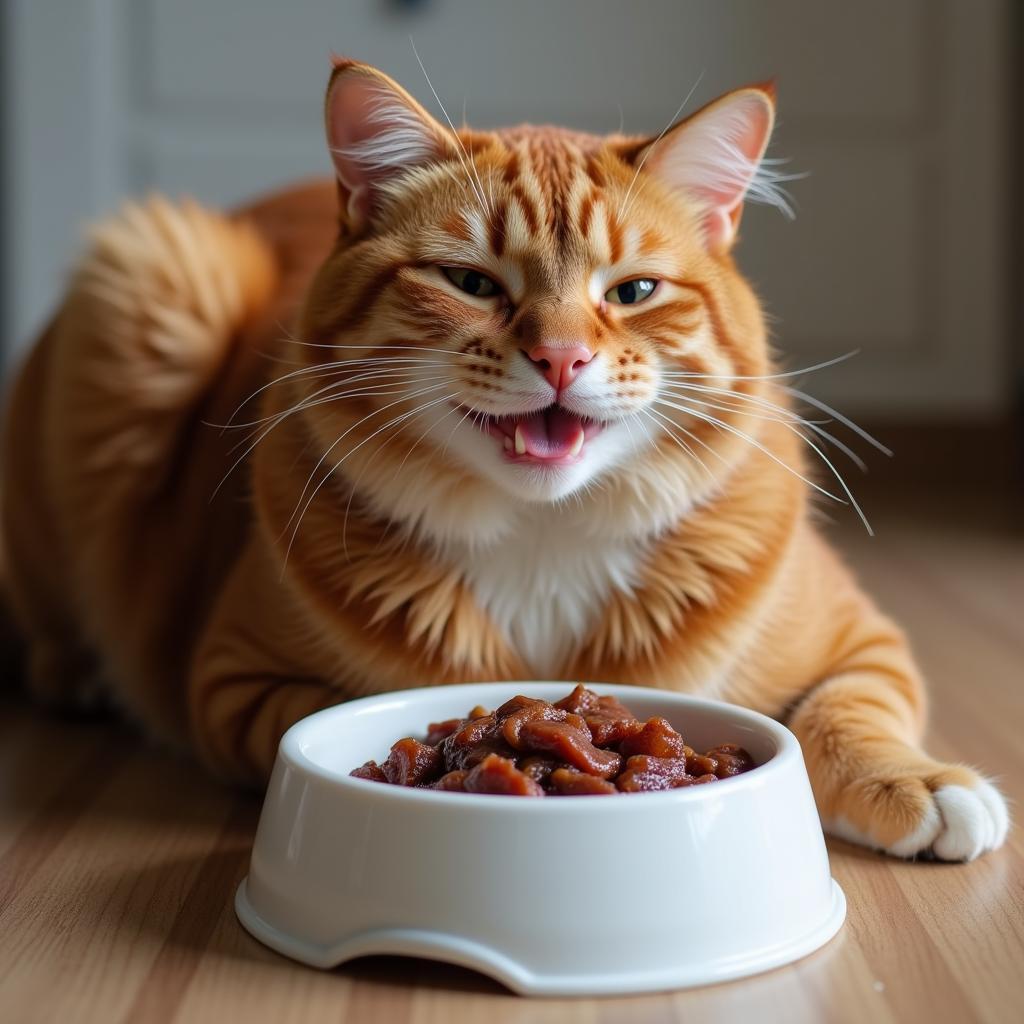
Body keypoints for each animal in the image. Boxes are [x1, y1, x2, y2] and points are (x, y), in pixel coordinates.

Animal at [0, 56, 1007, 856]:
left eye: (632, 292)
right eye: (471, 283)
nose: (560, 358)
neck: (543, 532)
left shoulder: (864, 643)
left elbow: (848, 712)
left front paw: (920, 782)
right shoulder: (233, 681)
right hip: (153, 285)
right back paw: (72, 672)